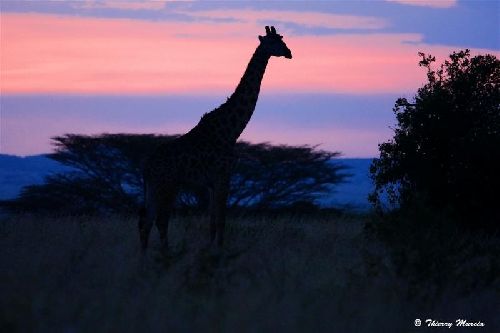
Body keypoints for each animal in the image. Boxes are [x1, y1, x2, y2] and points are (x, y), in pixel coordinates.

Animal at [139, 26, 292, 250]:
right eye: (274, 42)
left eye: (282, 39)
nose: (289, 53)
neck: (230, 130)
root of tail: (146, 165)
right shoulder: (223, 176)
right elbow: (221, 221)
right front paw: (217, 253)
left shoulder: (212, 182)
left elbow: (212, 223)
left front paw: (210, 250)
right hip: (167, 184)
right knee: (160, 220)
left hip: (154, 186)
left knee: (146, 222)